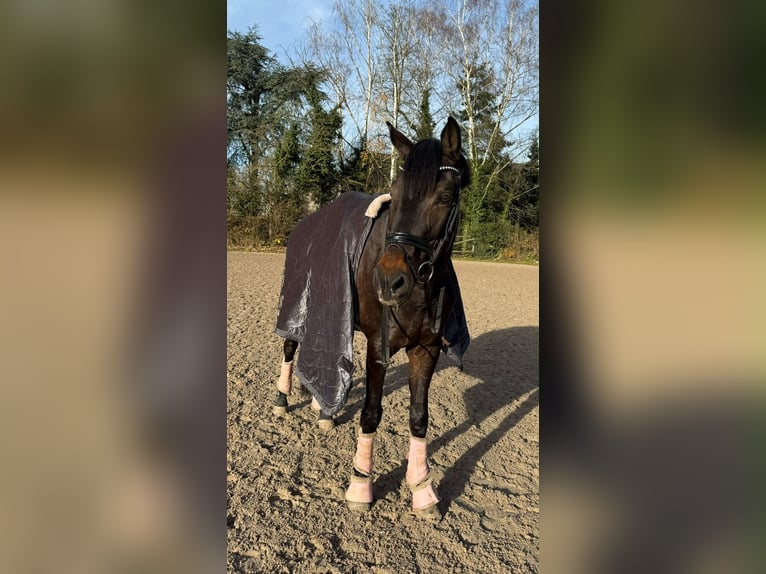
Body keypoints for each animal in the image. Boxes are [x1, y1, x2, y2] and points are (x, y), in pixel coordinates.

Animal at [273, 117, 471, 515]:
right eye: (395, 192)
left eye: (444, 197)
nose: (389, 280)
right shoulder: (378, 348)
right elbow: (371, 412)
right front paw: (360, 485)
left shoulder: (426, 348)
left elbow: (419, 417)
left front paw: (422, 489)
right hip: (296, 300)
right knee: (290, 345)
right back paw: (283, 399)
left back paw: (322, 407)